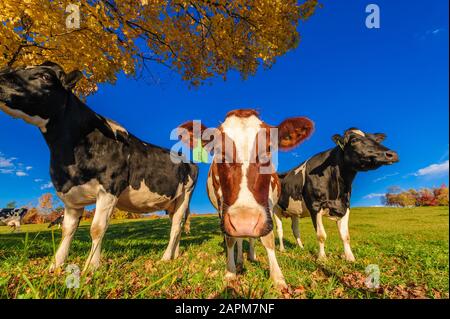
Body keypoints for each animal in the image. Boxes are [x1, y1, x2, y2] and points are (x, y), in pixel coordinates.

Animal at [0, 62, 198, 272]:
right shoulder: (71, 198)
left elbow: (97, 228)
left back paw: (166, 257)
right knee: (176, 226)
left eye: (45, 76)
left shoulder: (109, 189)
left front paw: (91, 266)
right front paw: (55, 265)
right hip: (171, 203)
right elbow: (67, 230)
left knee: (176, 226)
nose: (1, 77)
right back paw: (175, 254)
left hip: (185, 195)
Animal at [178, 110, 314, 290]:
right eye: (219, 151)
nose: (244, 222)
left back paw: (251, 255)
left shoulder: (268, 205)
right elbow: (230, 238)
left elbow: (267, 237)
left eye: (268, 150)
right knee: (240, 238)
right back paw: (240, 260)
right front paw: (230, 272)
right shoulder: (223, 207)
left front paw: (278, 277)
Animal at [272, 128, 400, 262]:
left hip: (294, 211)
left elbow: (345, 235)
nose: (392, 154)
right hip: (275, 209)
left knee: (295, 229)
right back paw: (282, 249)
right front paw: (322, 258)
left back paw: (301, 247)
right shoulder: (315, 205)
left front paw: (350, 257)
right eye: (354, 140)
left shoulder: (345, 206)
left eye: (376, 140)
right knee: (279, 229)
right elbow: (321, 235)